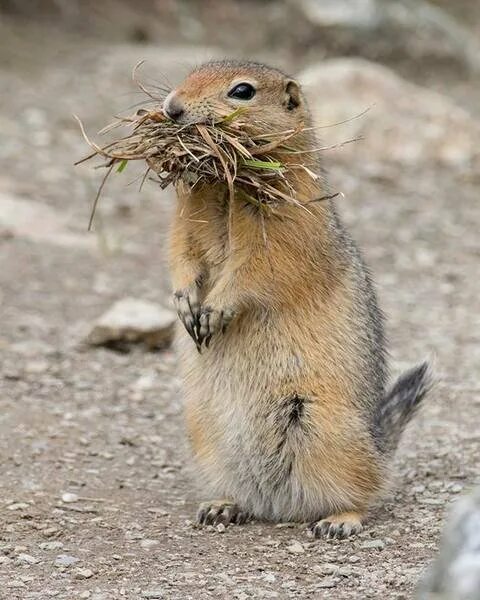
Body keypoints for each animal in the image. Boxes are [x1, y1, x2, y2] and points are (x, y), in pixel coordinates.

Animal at [163, 59, 430, 540]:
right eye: (191, 71)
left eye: (242, 91)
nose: (171, 108)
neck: (224, 186)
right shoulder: (186, 216)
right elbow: (181, 254)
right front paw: (186, 305)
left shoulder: (288, 223)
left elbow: (258, 268)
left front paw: (215, 309)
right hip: (205, 434)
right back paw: (221, 506)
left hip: (325, 430)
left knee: (367, 490)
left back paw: (338, 521)